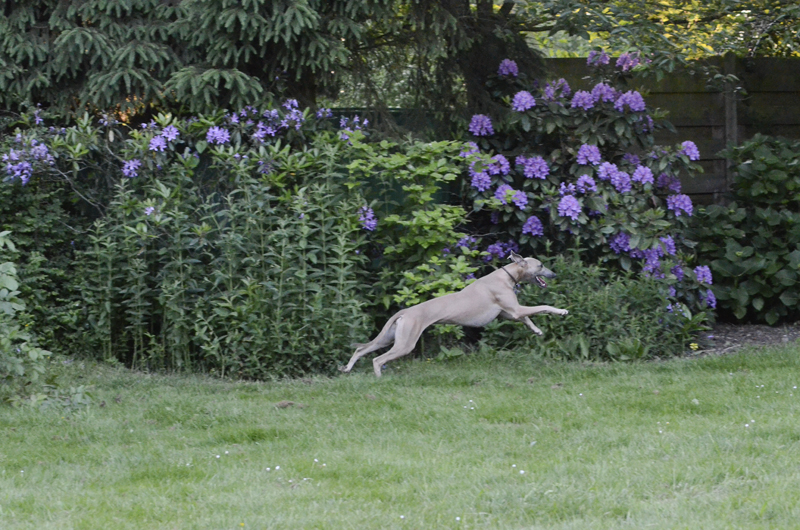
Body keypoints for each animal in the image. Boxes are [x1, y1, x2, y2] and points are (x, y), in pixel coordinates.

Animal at [341, 252, 568, 377]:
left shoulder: (509, 314)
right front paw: (561, 311)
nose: (555, 274)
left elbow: (527, 319)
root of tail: (405, 311)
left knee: (361, 350)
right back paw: (379, 378)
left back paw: (347, 368)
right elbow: (542, 306)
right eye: (541, 265)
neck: (506, 276)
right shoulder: (516, 309)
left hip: (389, 338)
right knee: (377, 360)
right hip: (405, 344)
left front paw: (537, 330)